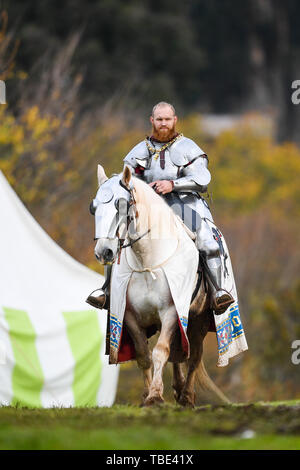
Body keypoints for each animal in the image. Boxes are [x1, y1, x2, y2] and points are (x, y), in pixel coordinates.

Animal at [92, 165, 229, 408]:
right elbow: (144, 355)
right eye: (94, 208)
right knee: (178, 353)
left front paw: (156, 396)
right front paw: (148, 395)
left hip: (200, 319)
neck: (147, 260)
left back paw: (187, 396)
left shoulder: (172, 311)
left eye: (121, 205)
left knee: (194, 356)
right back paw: (178, 388)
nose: (104, 252)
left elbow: (161, 352)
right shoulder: (129, 315)